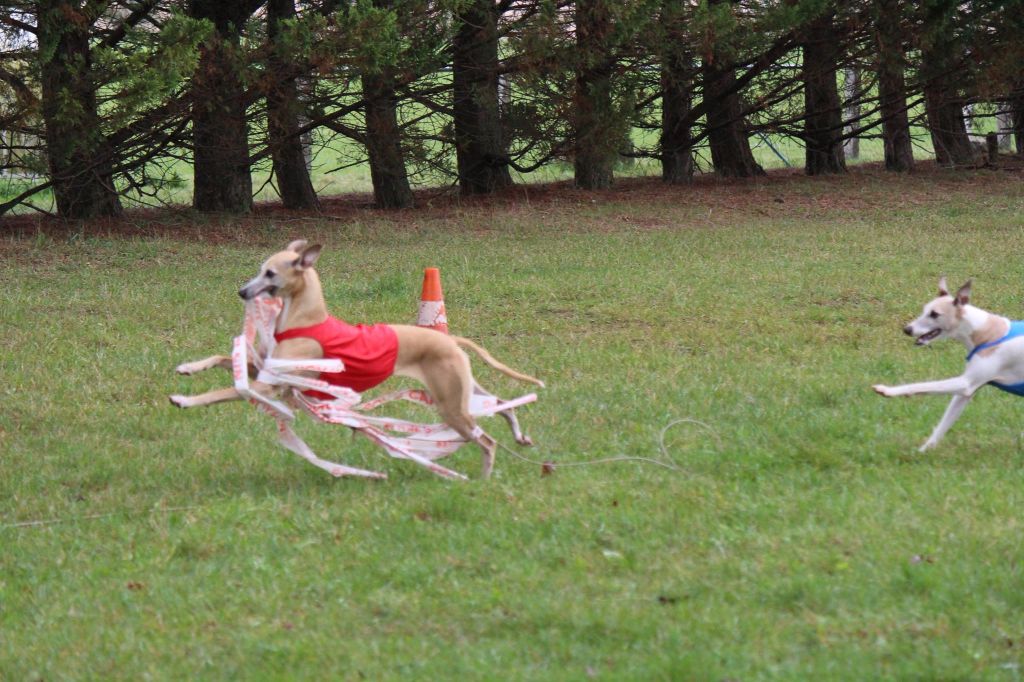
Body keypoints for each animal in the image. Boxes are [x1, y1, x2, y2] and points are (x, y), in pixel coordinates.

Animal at [876, 276, 1024, 450]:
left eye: (934, 314)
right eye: (924, 310)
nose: (907, 329)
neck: (985, 331)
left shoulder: (966, 383)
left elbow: (920, 385)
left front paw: (888, 390)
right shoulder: (965, 394)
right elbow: (942, 425)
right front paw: (924, 451)